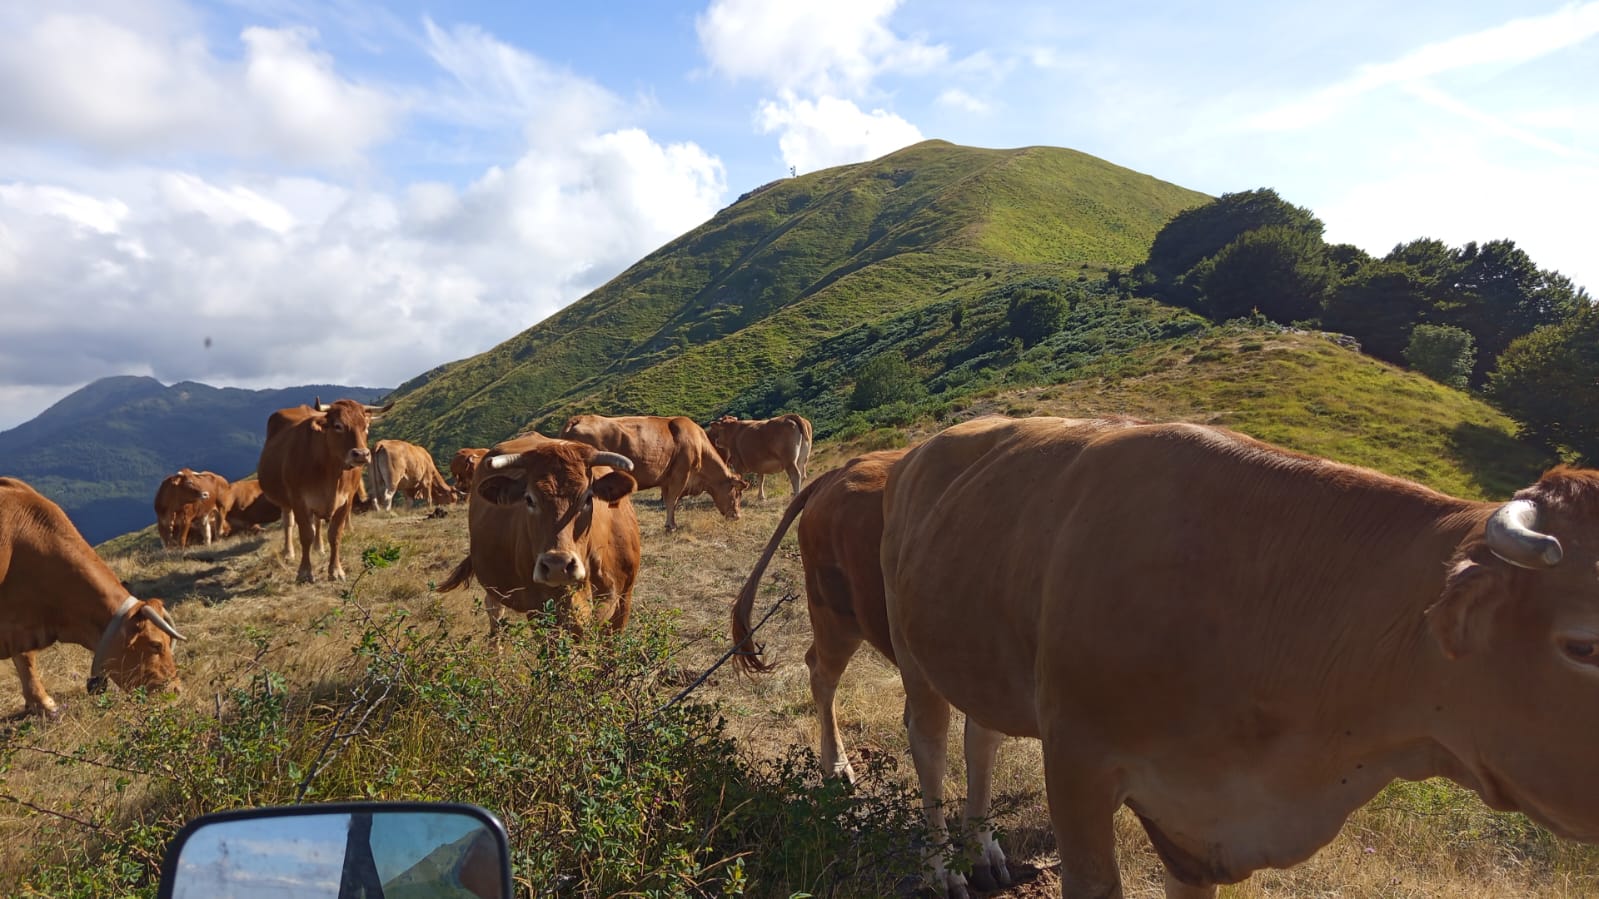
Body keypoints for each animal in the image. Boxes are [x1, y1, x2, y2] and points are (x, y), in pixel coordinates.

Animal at [257, 398, 389, 583]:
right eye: (338, 425)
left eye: (366, 426)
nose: (362, 454)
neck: (331, 472)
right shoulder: (299, 501)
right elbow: (306, 535)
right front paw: (304, 572)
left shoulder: (346, 501)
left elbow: (335, 535)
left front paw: (336, 570)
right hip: (285, 501)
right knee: (288, 523)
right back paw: (289, 552)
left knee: (317, 523)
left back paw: (318, 547)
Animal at [438, 435, 640, 635]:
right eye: (529, 499)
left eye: (588, 498)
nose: (557, 565)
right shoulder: (539, 610)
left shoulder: (624, 601)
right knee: (494, 610)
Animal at [558, 414, 747, 531]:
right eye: (737, 493)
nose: (737, 516)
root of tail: (579, 418)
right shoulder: (681, 475)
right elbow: (672, 501)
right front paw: (671, 526)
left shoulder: (666, 479)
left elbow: (668, 500)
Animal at [880, 415, 1599, 898]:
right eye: (1584, 645)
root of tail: (930, 443)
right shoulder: (1076, 760)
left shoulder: (1199, 829)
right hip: (911, 646)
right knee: (931, 743)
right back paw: (943, 869)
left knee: (982, 737)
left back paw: (985, 852)